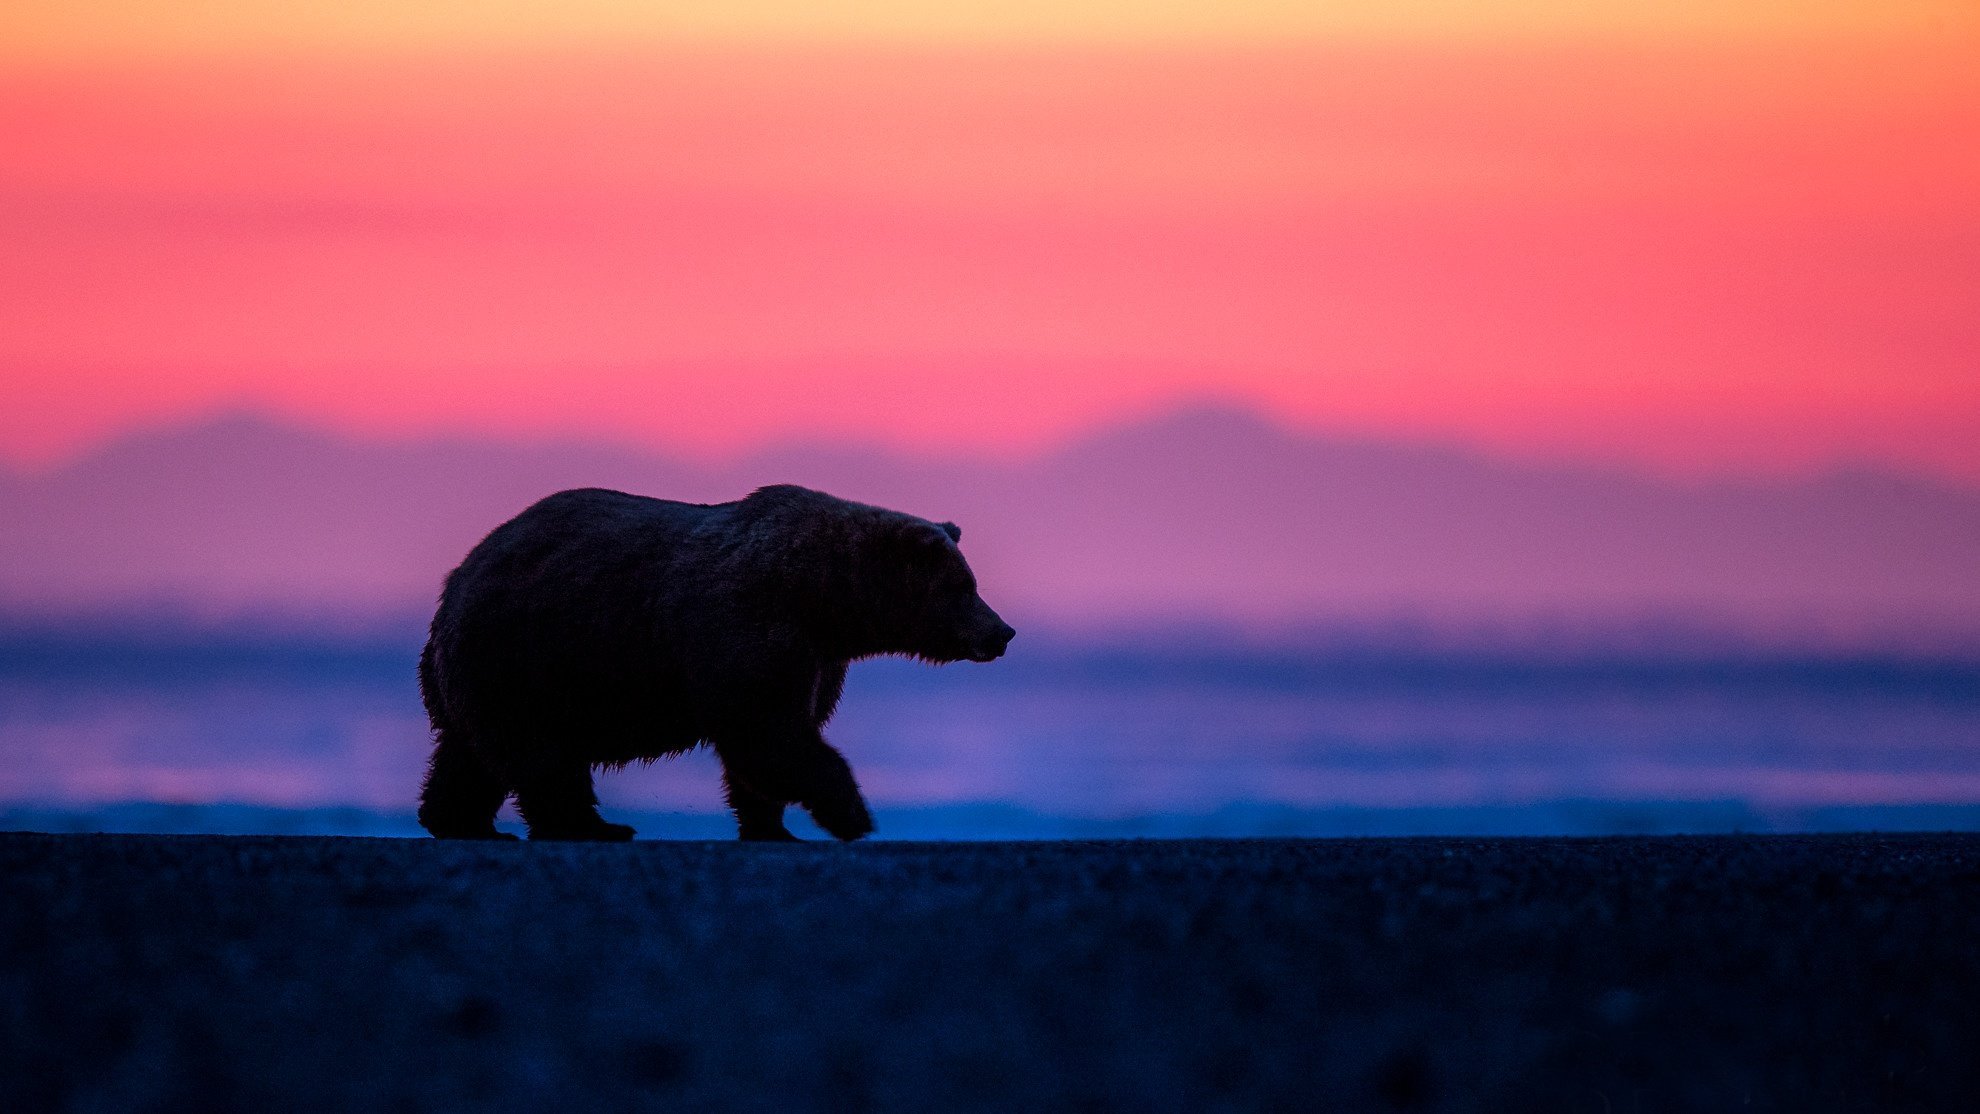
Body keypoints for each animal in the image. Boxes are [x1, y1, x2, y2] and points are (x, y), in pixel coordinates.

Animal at [411, 484, 1013, 842]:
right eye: (963, 588)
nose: (1002, 632)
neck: (825, 599)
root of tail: (456, 581)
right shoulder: (750, 624)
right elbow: (770, 735)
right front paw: (852, 814)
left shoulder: (816, 657)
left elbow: (777, 739)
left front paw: (773, 826)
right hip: (529, 654)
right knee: (541, 756)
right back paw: (590, 826)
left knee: (470, 753)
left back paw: (462, 821)